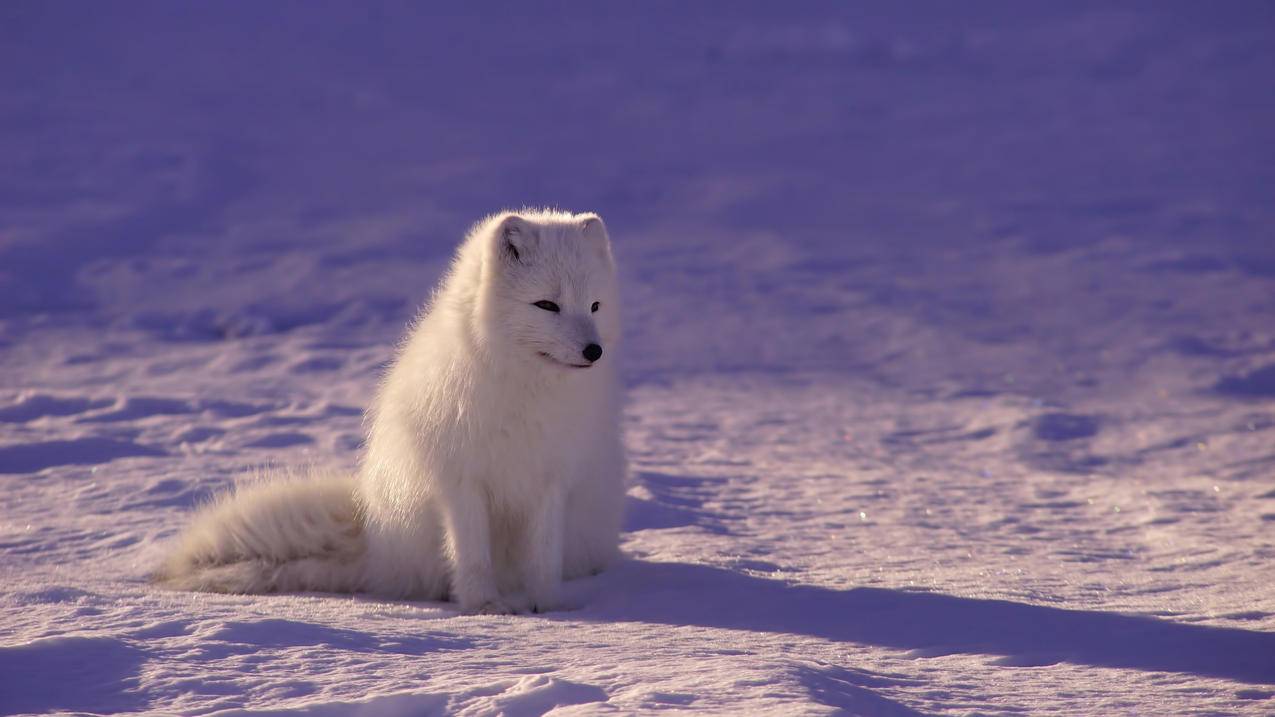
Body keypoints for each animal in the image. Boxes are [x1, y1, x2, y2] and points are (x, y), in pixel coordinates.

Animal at [159, 209, 627, 612]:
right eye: (547, 305)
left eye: (595, 306)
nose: (594, 351)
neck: (525, 390)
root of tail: (374, 543)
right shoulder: (460, 479)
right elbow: (472, 555)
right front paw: (485, 607)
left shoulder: (552, 480)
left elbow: (543, 558)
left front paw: (547, 608)